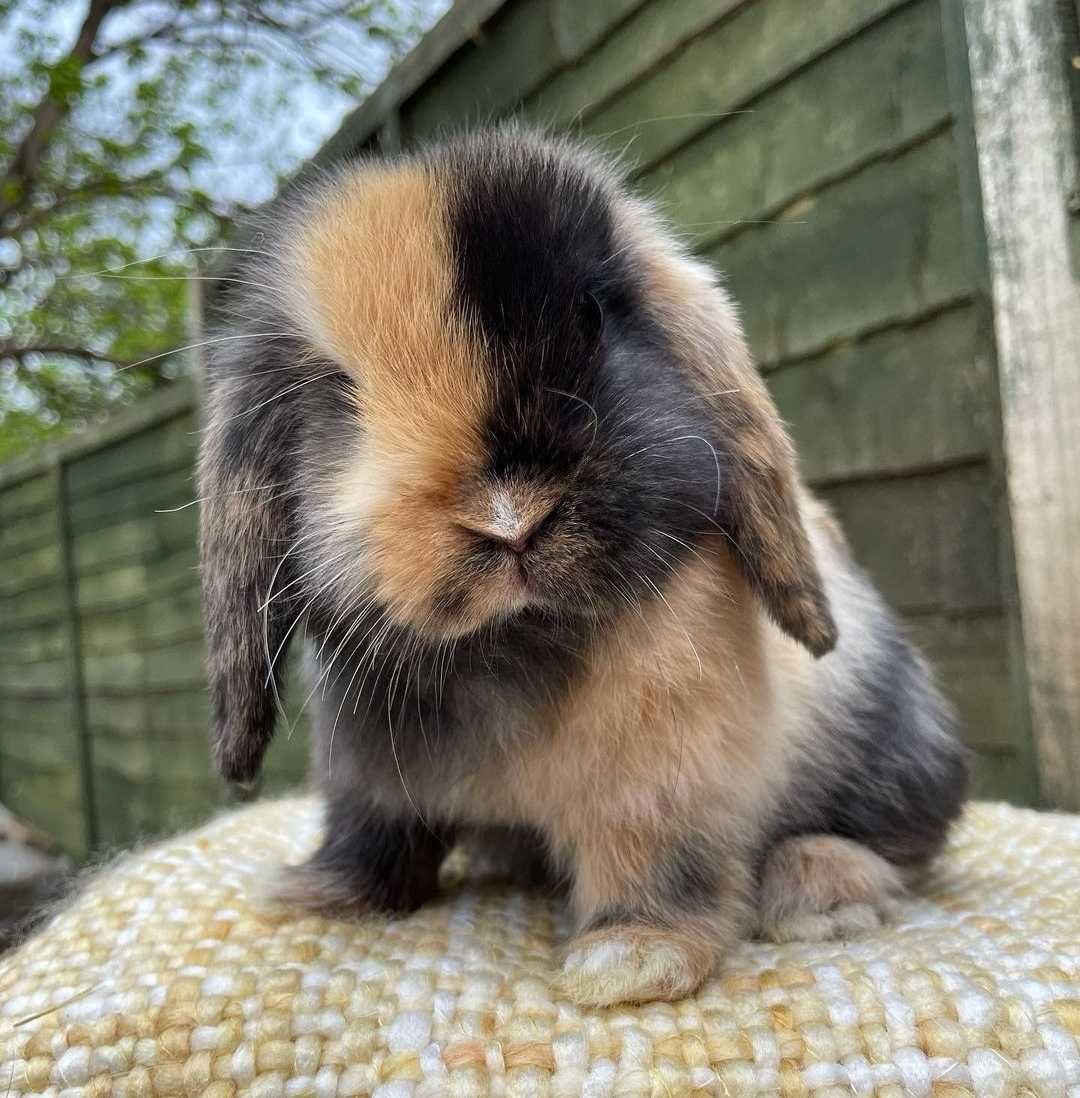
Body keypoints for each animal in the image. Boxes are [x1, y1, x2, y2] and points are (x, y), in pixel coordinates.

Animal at [200, 124, 970, 1005]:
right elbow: (373, 832)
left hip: (898, 747)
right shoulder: (367, 775)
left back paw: (821, 893)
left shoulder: (667, 775)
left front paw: (630, 960)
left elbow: (655, 858)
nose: (508, 520)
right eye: (339, 392)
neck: (513, 642)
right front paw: (319, 894)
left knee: (896, 840)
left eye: (592, 316)